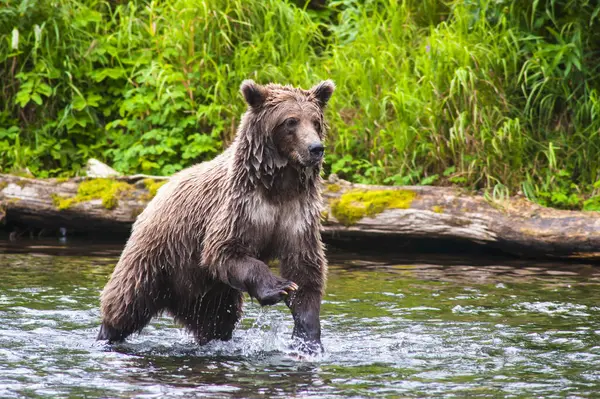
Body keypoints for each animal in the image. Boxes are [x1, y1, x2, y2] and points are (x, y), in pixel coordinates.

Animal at [96, 79, 336, 354]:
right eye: (290, 121)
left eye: (315, 121)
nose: (315, 148)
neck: (278, 186)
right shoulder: (239, 207)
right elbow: (224, 250)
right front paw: (280, 287)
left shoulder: (297, 214)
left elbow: (304, 267)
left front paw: (308, 337)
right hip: (158, 255)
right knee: (127, 301)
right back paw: (106, 335)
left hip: (209, 292)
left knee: (217, 320)